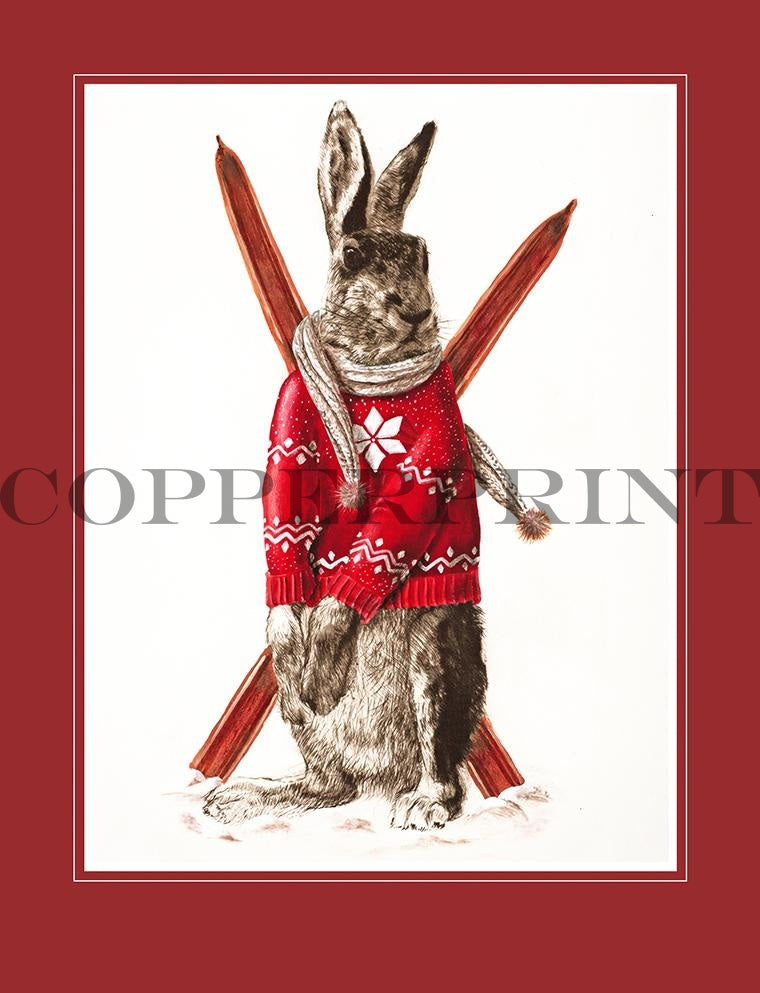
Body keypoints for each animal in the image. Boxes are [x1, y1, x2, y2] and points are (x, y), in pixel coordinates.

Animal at [204, 103, 488, 831]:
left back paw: (421, 805)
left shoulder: (431, 447)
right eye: (351, 256)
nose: (414, 310)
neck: (370, 370)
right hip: (306, 726)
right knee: (327, 783)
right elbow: (286, 519)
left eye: (423, 254)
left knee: (440, 762)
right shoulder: (290, 433)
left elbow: (377, 545)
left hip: (436, 666)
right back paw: (246, 795)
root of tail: (379, 772)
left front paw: (326, 658)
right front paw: (295, 649)